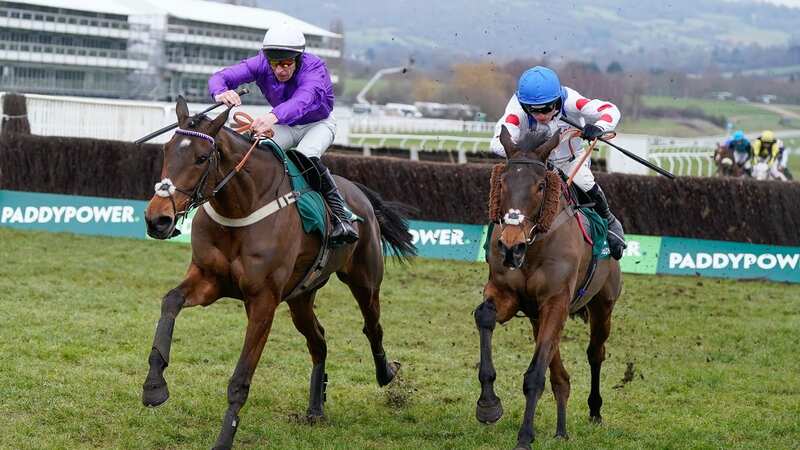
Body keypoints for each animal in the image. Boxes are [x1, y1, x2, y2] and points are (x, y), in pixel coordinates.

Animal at [144, 96, 416, 448]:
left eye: (201, 158)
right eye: (166, 150)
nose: (157, 219)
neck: (240, 209)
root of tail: (359, 194)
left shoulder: (263, 301)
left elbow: (240, 380)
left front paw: (224, 440)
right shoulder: (209, 280)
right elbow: (170, 301)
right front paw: (153, 386)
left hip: (364, 280)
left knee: (373, 327)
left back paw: (386, 374)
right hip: (301, 297)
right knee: (319, 341)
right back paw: (315, 408)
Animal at [476, 126, 624, 450]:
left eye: (541, 186)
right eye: (502, 182)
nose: (511, 245)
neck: (533, 248)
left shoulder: (556, 302)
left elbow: (535, 375)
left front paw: (524, 436)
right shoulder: (507, 294)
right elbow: (484, 316)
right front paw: (488, 404)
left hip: (603, 305)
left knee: (595, 352)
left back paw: (595, 410)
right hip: (536, 316)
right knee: (561, 376)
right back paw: (561, 429)